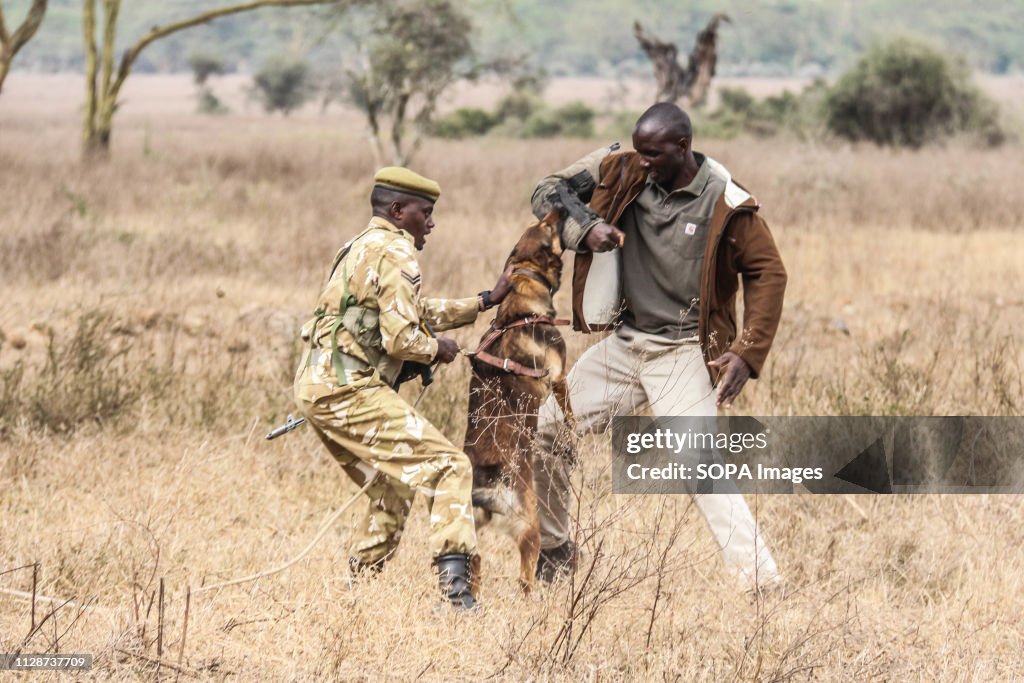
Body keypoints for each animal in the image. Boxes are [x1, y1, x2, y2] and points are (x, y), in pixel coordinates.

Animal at [462, 208, 569, 593]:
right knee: (525, 578)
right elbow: (571, 417)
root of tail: (488, 488)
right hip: (530, 530)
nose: (558, 207)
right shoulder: (560, 379)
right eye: (548, 227)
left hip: (469, 536)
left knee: (474, 569)